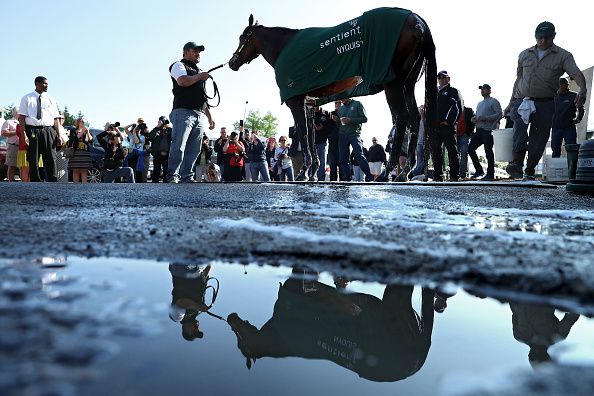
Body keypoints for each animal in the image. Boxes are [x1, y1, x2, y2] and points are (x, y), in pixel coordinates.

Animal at [227, 8, 434, 181]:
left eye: (242, 38)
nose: (231, 63)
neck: (285, 47)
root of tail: (417, 20)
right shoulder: (309, 103)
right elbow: (311, 135)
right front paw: (312, 171)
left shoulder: (295, 101)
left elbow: (302, 132)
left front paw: (303, 172)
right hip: (407, 85)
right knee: (414, 119)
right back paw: (405, 171)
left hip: (393, 85)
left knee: (401, 118)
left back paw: (387, 172)